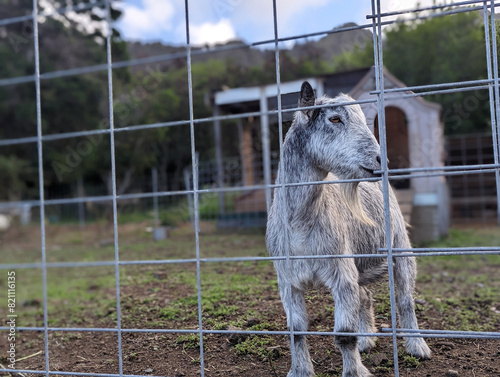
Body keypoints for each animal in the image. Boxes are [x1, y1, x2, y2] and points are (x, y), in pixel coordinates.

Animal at [266, 81, 430, 376]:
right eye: (334, 119)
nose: (380, 160)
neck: (300, 223)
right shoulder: (287, 279)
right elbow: (296, 331)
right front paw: (301, 371)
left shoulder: (341, 273)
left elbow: (344, 334)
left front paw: (355, 371)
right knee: (365, 296)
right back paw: (367, 340)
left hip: (400, 246)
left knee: (405, 299)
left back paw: (417, 346)